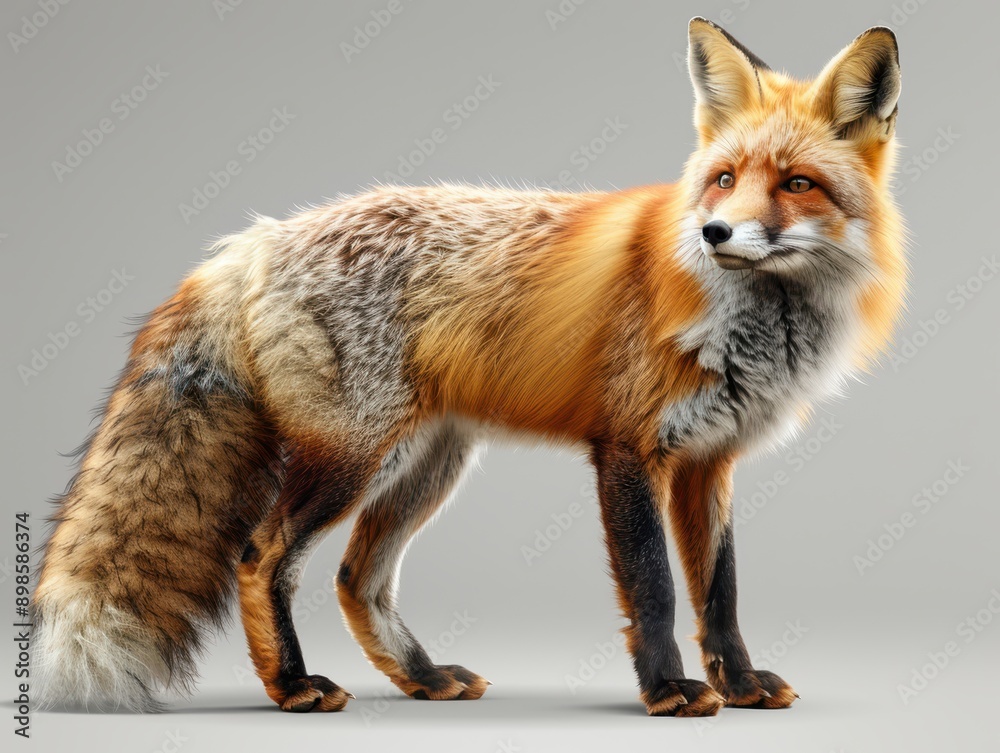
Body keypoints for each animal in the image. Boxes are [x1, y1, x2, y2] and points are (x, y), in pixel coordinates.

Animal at [32, 18, 905, 717]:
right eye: (723, 179)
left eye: (796, 184)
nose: (715, 232)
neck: (751, 321)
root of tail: (259, 236)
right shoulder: (628, 449)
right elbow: (656, 588)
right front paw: (667, 690)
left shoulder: (708, 460)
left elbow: (719, 591)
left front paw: (742, 682)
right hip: (352, 456)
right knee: (262, 554)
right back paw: (292, 686)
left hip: (427, 462)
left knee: (357, 577)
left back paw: (420, 677)